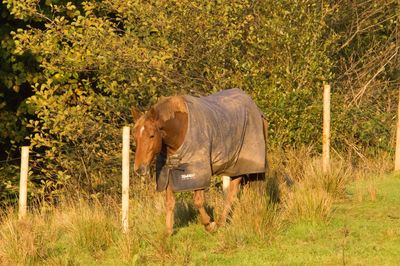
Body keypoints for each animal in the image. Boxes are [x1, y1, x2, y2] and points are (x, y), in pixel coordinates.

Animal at [132, 88, 268, 236]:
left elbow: (198, 201)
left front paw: (209, 224)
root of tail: (257, 110)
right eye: (135, 136)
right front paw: (167, 233)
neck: (180, 128)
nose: (139, 169)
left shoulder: (198, 172)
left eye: (151, 135)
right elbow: (169, 202)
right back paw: (221, 222)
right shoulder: (168, 173)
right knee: (232, 192)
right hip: (235, 166)